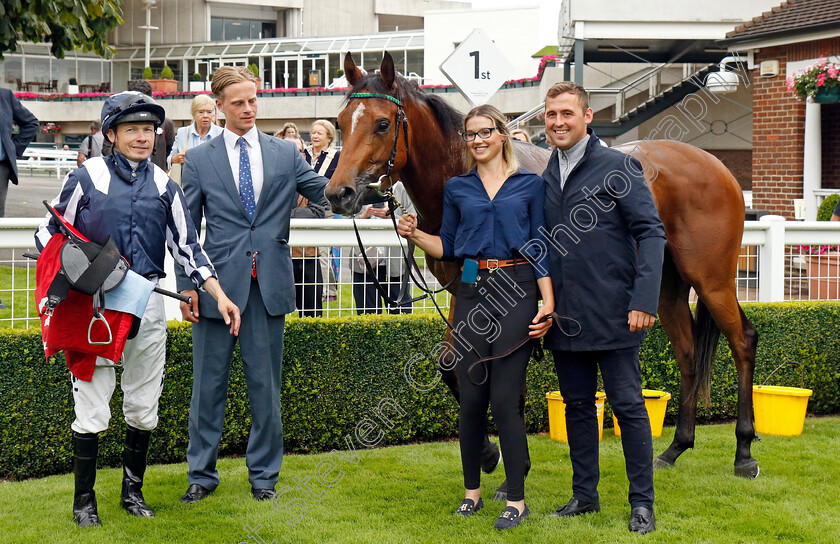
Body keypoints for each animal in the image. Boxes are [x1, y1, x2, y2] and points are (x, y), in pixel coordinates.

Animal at [328, 52, 760, 492]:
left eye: (383, 123)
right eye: (341, 122)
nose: (338, 193)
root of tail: (716, 165)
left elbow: (509, 383)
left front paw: (512, 469)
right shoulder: (465, 290)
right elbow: (452, 365)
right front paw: (489, 453)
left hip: (711, 278)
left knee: (742, 340)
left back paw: (744, 451)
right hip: (665, 285)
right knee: (688, 351)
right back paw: (675, 448)